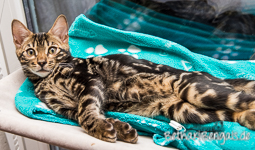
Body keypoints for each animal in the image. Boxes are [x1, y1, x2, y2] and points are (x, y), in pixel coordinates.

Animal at [11, 14, 255, 143]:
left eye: (52, 50)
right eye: (31, 52)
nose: (42, 62)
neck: (48, 79)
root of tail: (210, 75)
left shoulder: (90, 82)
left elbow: (85, 111)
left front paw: (99, 128)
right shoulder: (64, 109)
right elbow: (87, 114)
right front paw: (119, 128)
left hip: (195, 89)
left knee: (244, 99)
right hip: (186, 110)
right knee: (232, 113)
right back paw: (248, 118)